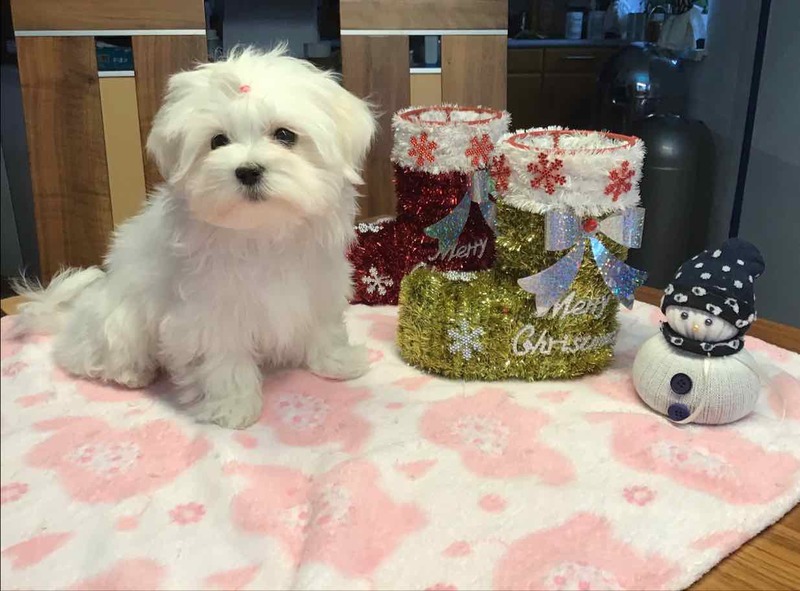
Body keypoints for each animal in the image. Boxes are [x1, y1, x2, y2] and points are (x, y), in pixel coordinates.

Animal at [14, 46, 377, 429]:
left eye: (285, 135)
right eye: (218, 141)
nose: (247, 171)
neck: (261, 231)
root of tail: (72, 320)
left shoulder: (318, 284)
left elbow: (324, 324)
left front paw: (337, 361)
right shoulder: (211, 310)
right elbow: (224, 356)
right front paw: (234, 406)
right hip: (119, 323)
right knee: (92, 355)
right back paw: (132, 374)